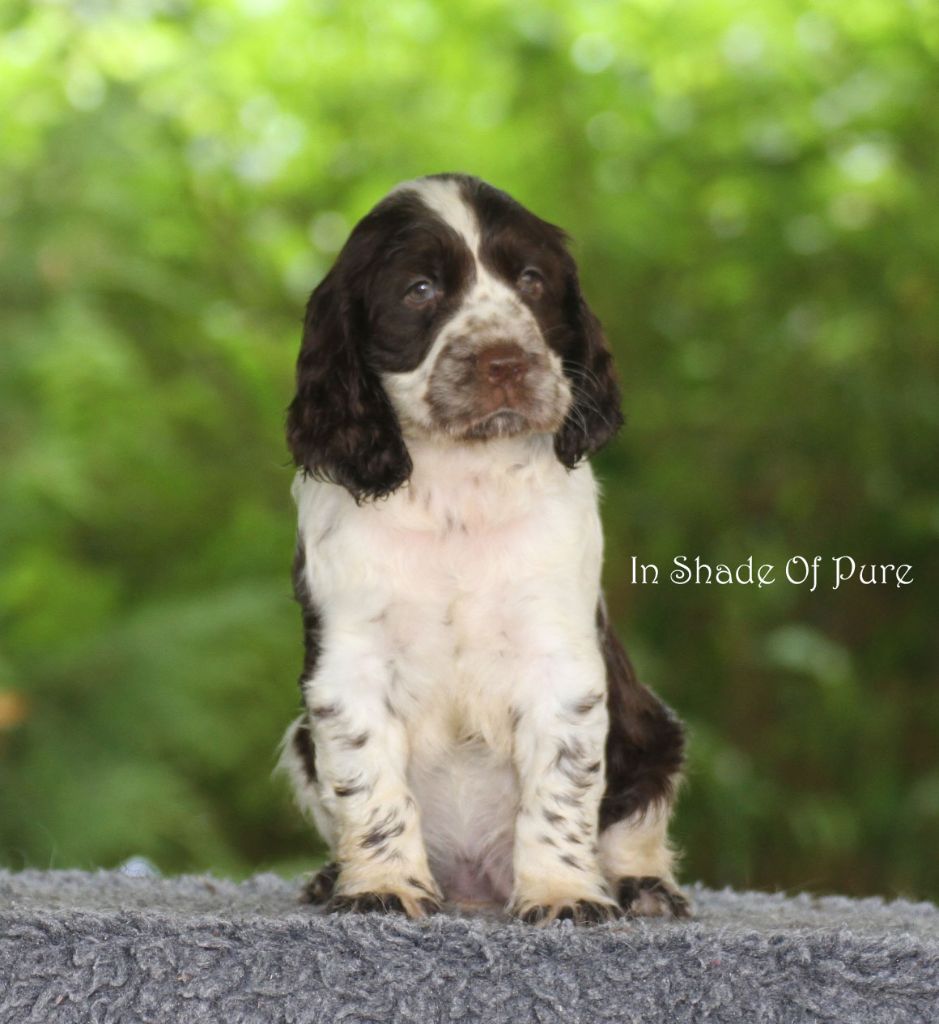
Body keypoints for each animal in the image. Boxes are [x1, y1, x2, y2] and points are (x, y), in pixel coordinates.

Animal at [278, 174, 688, 929]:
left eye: (531, 281)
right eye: (419, 290)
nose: (506, 361)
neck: (458, 490)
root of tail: (474, 885)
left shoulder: (560, 659)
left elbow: (561, 784)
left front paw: (562, 893)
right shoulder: (348, 663)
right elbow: (367, 779)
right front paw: (381, 885)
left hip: (652, 733)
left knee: (635, 824)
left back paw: (642, 887)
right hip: (297, 739)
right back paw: (332, 876)